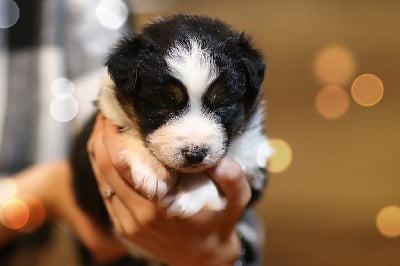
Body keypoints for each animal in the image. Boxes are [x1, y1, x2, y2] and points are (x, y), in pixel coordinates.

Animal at [71, 13, 272, 260]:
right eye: (164, 103)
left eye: (222, 103)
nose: (195, 154)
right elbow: (127, 130)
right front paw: (151, 169)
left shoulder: (255, 160)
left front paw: (191, 193)